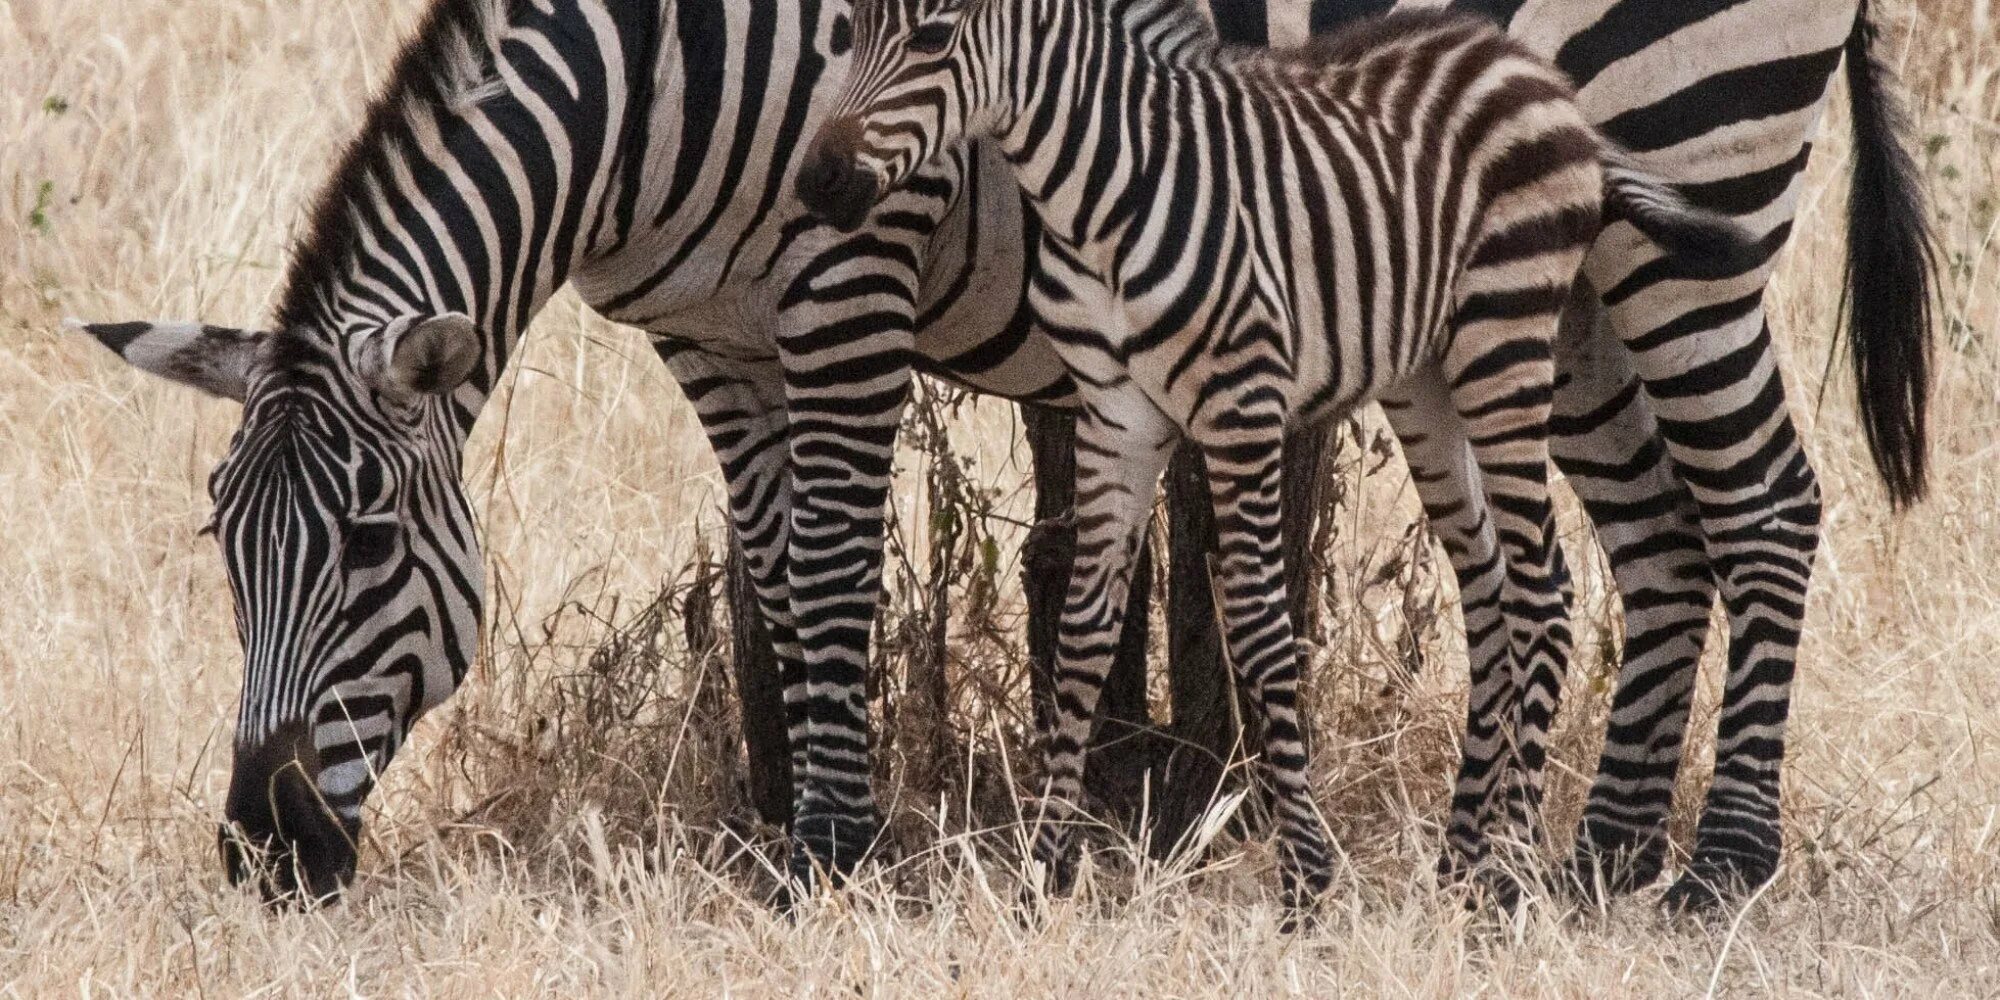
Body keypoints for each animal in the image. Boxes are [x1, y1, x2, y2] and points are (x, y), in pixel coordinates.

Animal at [70, 0, 1928, 912]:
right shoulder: (714, 333)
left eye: (374, 550)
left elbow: (829, 565)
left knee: (1767, 505)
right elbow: (768, 580)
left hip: (1685, 185)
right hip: (1564, 279)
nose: (263, 854)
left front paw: (838, 853)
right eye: (224, 552)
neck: (664, 87)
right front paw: (777, 829)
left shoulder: (845, 280)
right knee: (1663, 546)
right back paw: (1597, 861)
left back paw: (1720, 870)